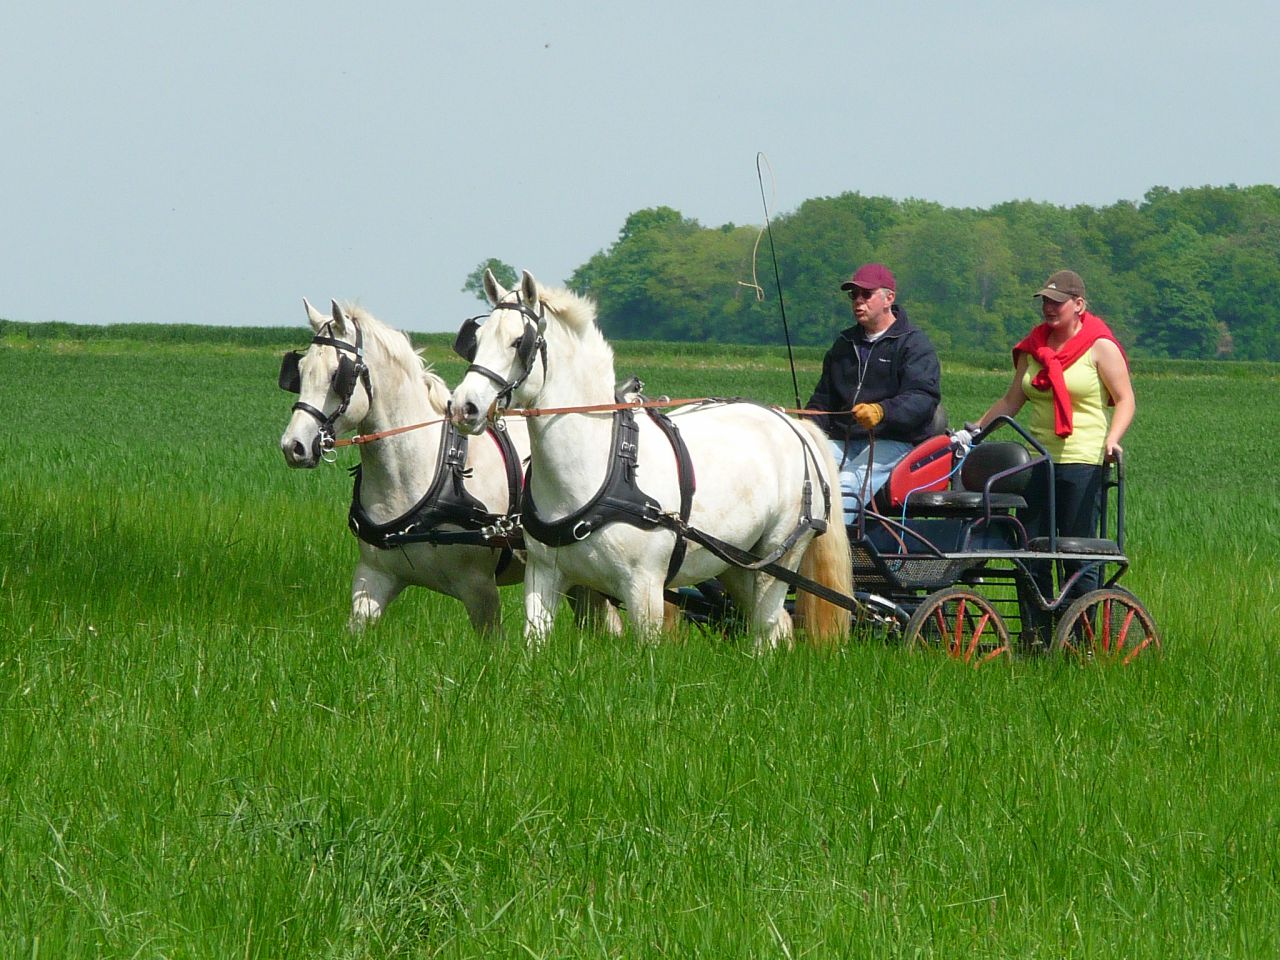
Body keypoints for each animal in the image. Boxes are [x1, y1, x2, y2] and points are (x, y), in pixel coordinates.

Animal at [449, 269, 854, 649]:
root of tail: (793, 424)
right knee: (777, 624)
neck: (602, 467)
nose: (462, 406)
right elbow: (534, 645)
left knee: (766, 626)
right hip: (736, 563)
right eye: (476, 341)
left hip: (779, 556)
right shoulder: (544, 575)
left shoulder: (644, 588)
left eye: (519, 342)